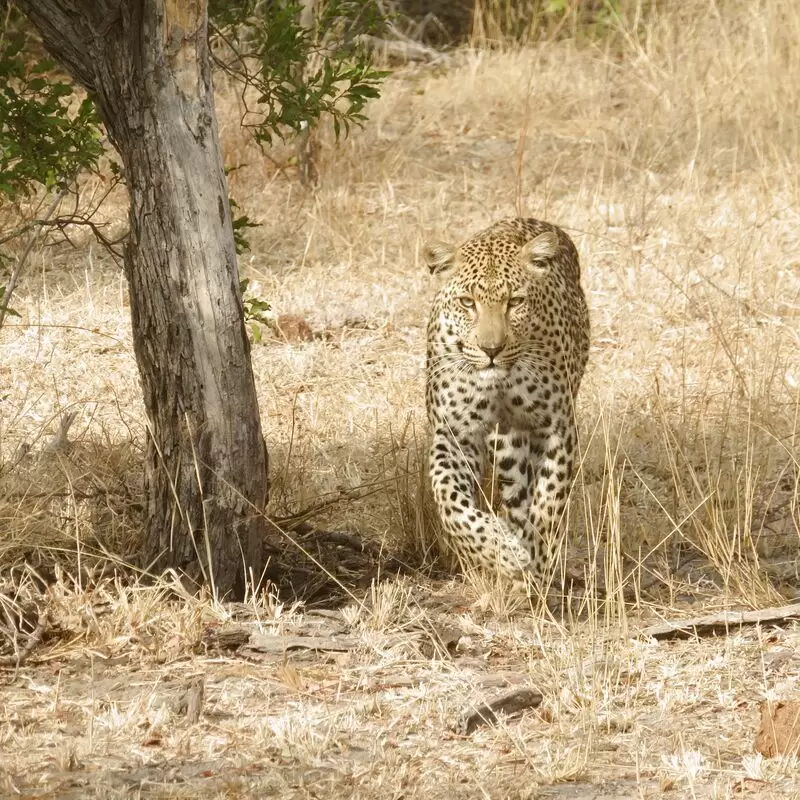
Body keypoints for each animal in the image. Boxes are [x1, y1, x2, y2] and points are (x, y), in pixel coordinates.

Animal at [424, 217, 588, 588]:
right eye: (467, 302)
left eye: (515, 301)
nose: (491, 349)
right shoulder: (455, 432)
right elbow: (449, 499)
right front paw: (502, 553)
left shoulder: (557, 427)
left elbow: (549, 503)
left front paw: (538, 564)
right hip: (505, 443)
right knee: (514, 496)